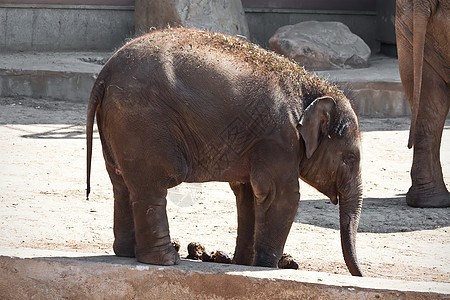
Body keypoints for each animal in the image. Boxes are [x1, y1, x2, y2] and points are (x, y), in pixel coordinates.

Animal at [86, 28, 364, 276]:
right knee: (153, 184)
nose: (360, 275)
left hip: (118, 126)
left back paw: (126, 254)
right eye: (350, 158)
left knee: (122, 184)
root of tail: (104, 74)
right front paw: (266, 267)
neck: (311, 87)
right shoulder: (279, 138)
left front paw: (244, 264)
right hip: (144, 123)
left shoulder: (257, 141)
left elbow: (248, 194)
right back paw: (165, 260)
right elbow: (281, 194)